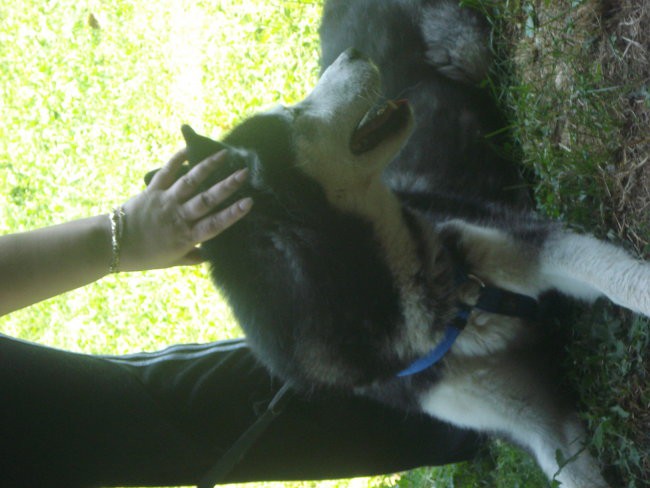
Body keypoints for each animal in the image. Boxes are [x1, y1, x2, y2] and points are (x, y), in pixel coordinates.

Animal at [151, 0, 644, 488]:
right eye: (294, 115)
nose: (351, 55)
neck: (432, 305)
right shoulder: (537, 426)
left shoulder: (533, 244)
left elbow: (622, 281)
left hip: (470, 52)